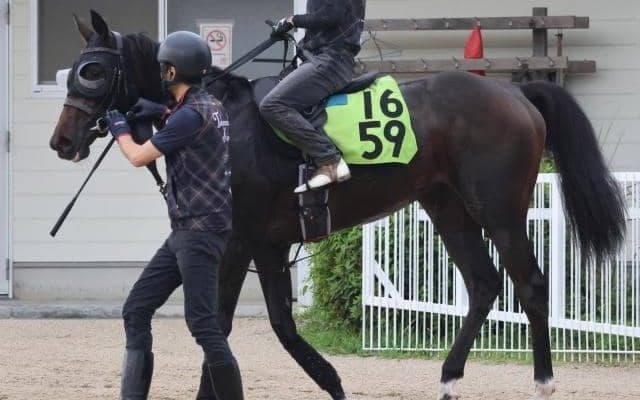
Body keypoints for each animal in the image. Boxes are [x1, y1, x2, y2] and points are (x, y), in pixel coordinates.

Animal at [49, 11, 626, 400]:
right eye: (73, 68)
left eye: (93, 71)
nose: (61, 141)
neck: (222, 118)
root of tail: (519, 94)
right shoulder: (267, 244)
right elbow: (278, 325)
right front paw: (331, 379)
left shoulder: (236, 242)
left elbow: (219, 323)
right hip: (446, 205)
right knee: (484, 284)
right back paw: (448, 377)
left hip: (498, 209)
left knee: (529, 283)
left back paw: (543, 379)